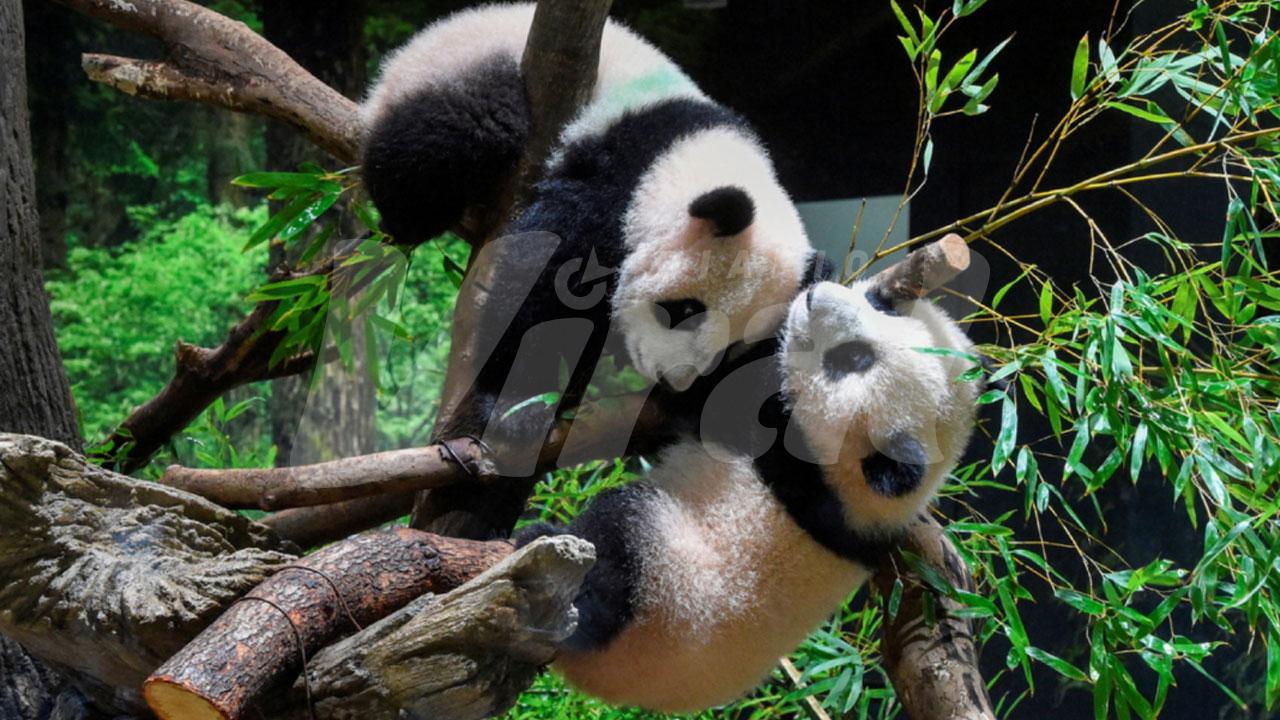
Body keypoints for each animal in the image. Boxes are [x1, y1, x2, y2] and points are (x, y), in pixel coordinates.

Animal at [361, 4, 818, 493]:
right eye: (685, 311)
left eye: (730, 348)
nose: (673, 379)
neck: (695, 155)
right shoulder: (617, 177)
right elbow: (543, 272)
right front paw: (516, 408)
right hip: (461, 72)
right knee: (450, 138)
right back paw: (408, 217)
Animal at [515, 279, 982, 713]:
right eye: (880, 304)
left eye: (852, 359)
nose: (816, 297)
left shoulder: (788, 452)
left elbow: (710, 395)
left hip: (662, 588)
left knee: (614, 550)